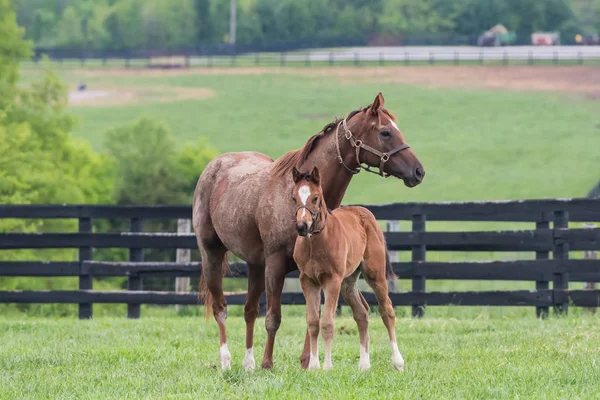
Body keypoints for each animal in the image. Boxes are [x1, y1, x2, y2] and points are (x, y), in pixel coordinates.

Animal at [290, 166, 404, 372]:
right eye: (294, 198)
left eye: (316, 197)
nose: (302, 226)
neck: (316, 243)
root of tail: (366, 213)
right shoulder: (308, 280)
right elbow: (313, 322)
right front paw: (313, 366)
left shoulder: (332, 280)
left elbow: (327, 323)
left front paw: (327, 366)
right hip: (348, 281)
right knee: (362, 312)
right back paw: (364, 364)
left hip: (374, 274)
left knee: (387, 310)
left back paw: (398, 362)